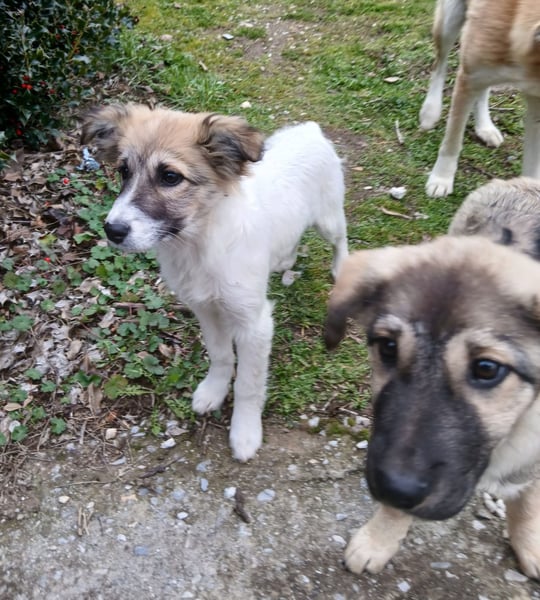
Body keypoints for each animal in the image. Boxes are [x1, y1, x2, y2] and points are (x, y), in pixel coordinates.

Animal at [81, 103, 348, 462]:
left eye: (170, 177)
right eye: (124, 171)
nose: (112, 230)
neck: (199, 243)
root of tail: (309, 130)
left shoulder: (254, 324)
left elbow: (249, 384)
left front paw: (245, 432)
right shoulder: (206, 309)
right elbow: (221, 355)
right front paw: (214, 390)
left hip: (328, 218)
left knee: (341, 238)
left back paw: (341, 267)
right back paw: (284, 260)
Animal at [324, 177, 540, 578]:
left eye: (487, 369)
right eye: (388, 347)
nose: (395, 489)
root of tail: (523, 182)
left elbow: (529, 499)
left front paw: (531, 544)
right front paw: (379, 539)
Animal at [421, 0, 540, 197]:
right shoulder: (468, 79)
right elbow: (452, 142)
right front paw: (441, 179)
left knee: (483, 90)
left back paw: (485, 127)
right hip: (449, 21)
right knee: (439, 65)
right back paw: (430, 112)